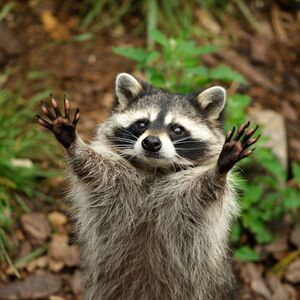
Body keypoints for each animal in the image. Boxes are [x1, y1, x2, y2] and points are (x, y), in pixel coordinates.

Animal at [37, 73, 258, 300]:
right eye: (142, 124)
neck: (154, 169)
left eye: (177, 129)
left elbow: (204, 190)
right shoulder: (116, 181)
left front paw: (219, 169)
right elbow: (93, 169)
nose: (151, 142)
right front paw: (75, 144)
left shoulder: (186, 199)